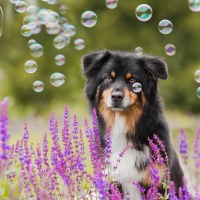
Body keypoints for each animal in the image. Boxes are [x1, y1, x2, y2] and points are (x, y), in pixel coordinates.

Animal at [81, 49, 183, 198]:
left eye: (132, 80)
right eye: (108, 78)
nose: (116, 97)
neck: (122, 125)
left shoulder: (156, 182)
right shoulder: (110, 181)